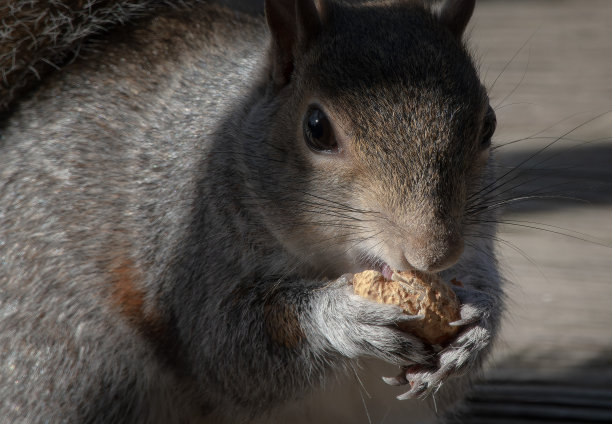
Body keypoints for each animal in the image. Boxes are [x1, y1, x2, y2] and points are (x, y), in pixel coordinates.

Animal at [0, 0, 502, 422]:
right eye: (316, 128)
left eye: (489, 124)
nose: (433, 254)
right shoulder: (191, 250)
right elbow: (230, 350)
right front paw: (341, 316)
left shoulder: (476, 239)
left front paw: (476, 326)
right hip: (77, 365)